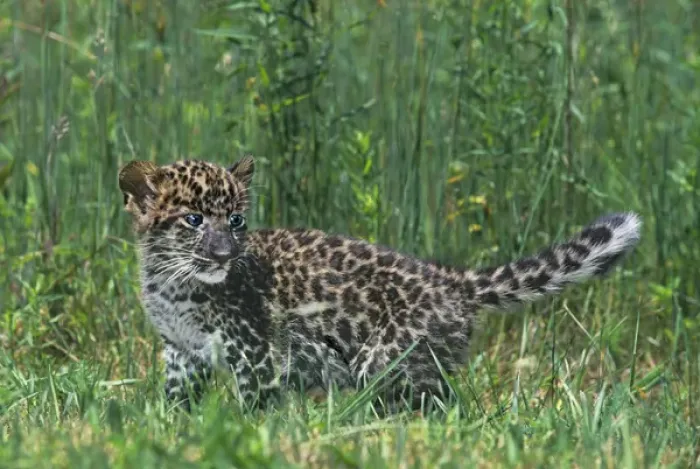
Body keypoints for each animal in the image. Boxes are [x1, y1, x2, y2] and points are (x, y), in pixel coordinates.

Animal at [118, 155, 642, 413]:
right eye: (193, 219)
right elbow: (176, 400)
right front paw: (172, 428)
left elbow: (256, 405)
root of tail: (451, 281)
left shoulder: (251, 351)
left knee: (436, 407)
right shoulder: (181, 352)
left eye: (236, 219)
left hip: (387, 360)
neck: (173, 283)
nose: (226, 252)